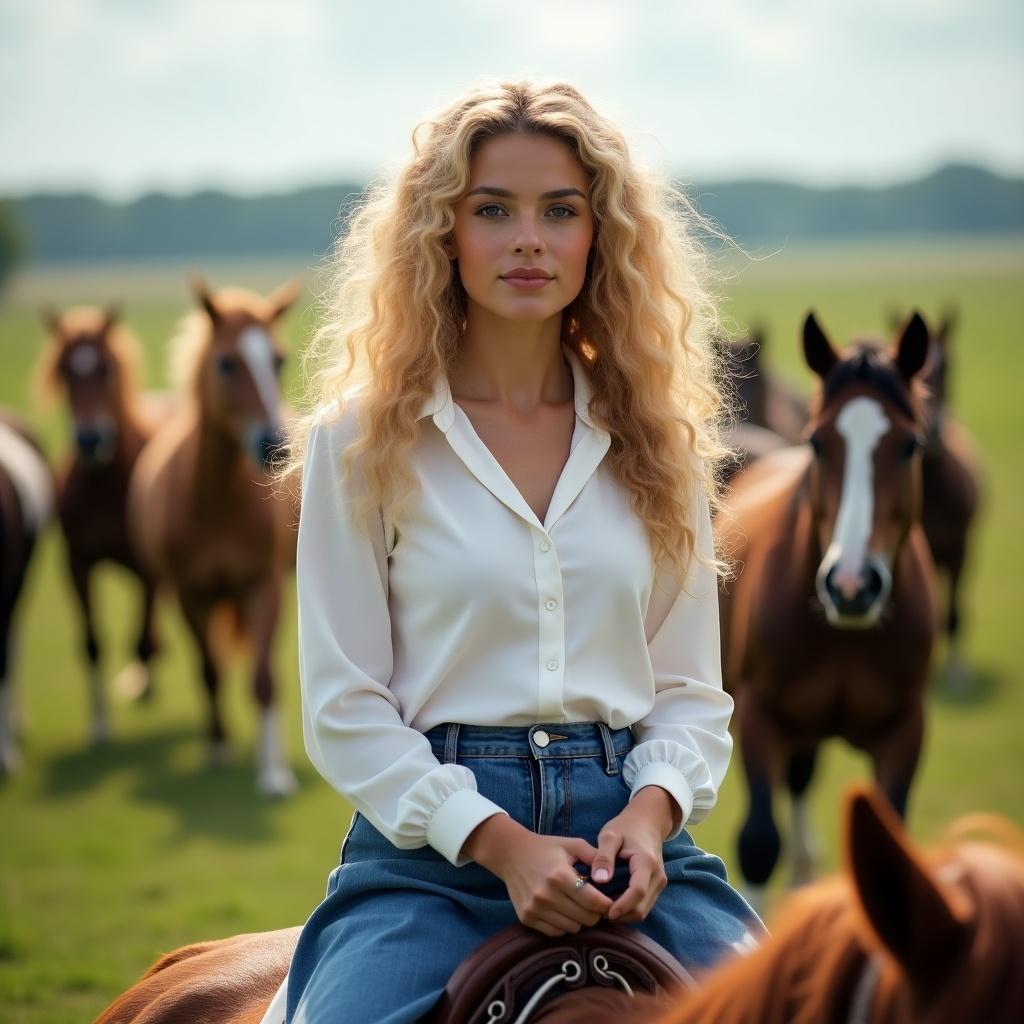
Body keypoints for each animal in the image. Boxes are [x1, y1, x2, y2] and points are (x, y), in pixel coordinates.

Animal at [33, 299, 174, 741]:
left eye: (106, 369)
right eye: (65, 370)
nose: (91, 439)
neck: (104, 482)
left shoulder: (148, 570)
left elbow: (140, 640)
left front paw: (143, 682)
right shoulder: (76, 564)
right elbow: (92, 643)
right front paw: (98, 726)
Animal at [127, 276, 299, 794]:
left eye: (278, 359)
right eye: (225, 362)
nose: (273, 445)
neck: (218, 503)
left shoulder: (262, 587)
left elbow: (263, 679)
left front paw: (274, 773)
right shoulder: (192, 594)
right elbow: (209, 671)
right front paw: (218, 747)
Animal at [716, 313, 937, 913]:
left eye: (910, 445)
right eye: (817, 442)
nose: (852, 586)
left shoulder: (906, 728)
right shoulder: (760, 715)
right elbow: (758, 843)